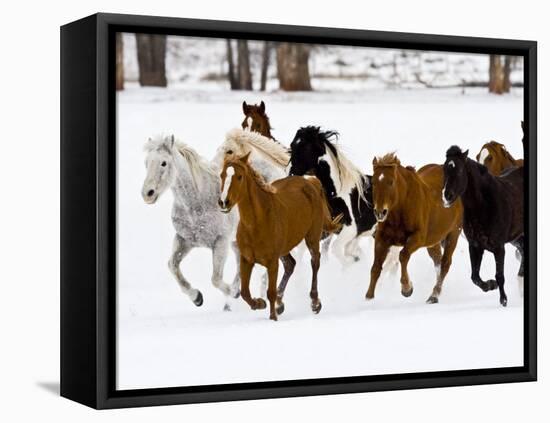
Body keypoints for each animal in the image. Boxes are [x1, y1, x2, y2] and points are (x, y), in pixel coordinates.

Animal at [142, 136, 239, 312]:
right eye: (146, 162)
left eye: (164, 163)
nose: (147, 194)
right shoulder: (184, 240)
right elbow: (172, 265)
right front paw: (197, 297)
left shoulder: (221, 241)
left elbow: (215, 279)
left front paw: (234, 293)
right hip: (236, 241)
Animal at [219, 154, 340, 320]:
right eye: (222, 175)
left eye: (239, 176)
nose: (224, 202)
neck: (257, 223)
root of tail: (311, 182)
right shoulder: (246, 260)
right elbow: (244, 293)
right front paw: (260, 303)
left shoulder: (272, 262)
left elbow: (270, 292)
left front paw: (273, 317)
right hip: (285, 249)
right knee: (290, 265)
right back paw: (280, 304)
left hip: (312, 237)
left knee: (315, 262)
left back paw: (315, 303)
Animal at [292, 126, 398, 272]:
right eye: (292, 145)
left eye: (306, 147)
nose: (291, 174)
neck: (336, 193)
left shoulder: (350, 230)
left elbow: (337, 249)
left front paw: (352, 263)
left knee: (393, 261)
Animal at [366, 154, 466, 304]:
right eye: (373, 182)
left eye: (391, 182)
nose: (379, 212)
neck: (401, 208)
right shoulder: (381, 239)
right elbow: (376, 267)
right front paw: (369, 298)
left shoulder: (417, 238)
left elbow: (403, 256)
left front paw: (407, 288)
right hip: (433, 241)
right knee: (437, 260)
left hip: (453, 234)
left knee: (445, 264)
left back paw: (434, 295)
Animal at [444, 147, 528, 306]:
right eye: (444, 170)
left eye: (459, 170)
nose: (446, 197)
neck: (484, 205)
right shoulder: (475, 246)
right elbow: (475, 277)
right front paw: (490, 285)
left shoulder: (498, 247)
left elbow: (500, 275)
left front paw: (503, 301)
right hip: (516, 238)